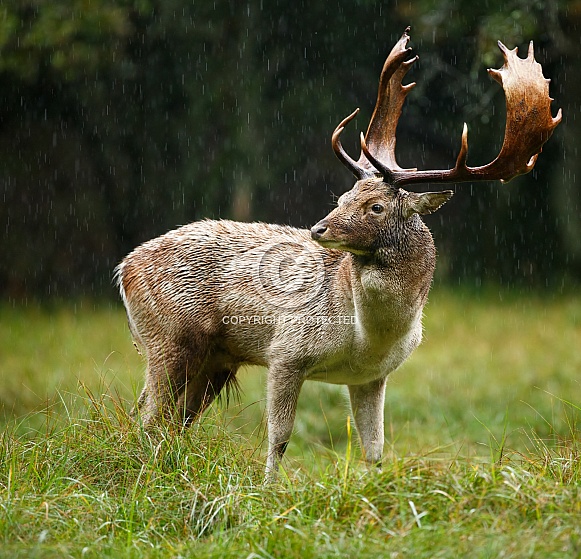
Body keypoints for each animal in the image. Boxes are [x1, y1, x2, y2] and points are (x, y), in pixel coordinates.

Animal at [115, 28, 560, 480]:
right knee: (150, 415)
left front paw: (373, 486)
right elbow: (279, 437)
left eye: (375, 206)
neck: (368, 337)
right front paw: (268, 488)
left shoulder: (370, 377)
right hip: (169, 336)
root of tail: (124, 269)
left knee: (167, 419)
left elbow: (375, 448)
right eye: (343, 197)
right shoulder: (286, 351)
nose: (319, 229)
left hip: (215, 360)